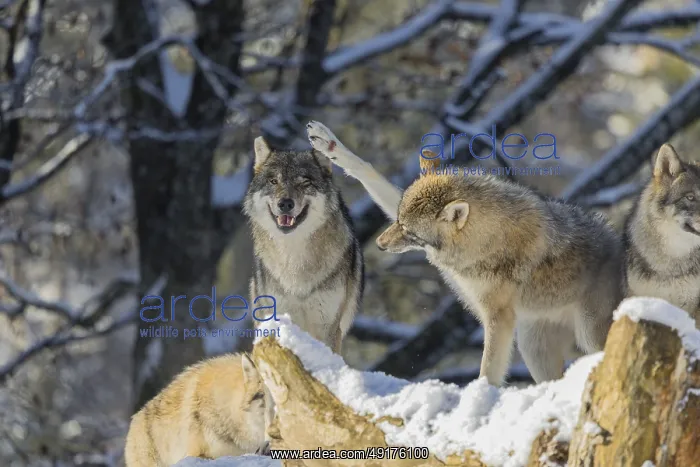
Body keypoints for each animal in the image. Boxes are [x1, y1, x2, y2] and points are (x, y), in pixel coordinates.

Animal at [307, 120, 625, 385]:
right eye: (397, 220)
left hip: (587, 335)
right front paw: (329, 144)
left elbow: (488, 371)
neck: (485, 240)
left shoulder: (498, 318)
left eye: (411, 232)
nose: (381, 245)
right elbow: (370, 171)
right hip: (533, 347)